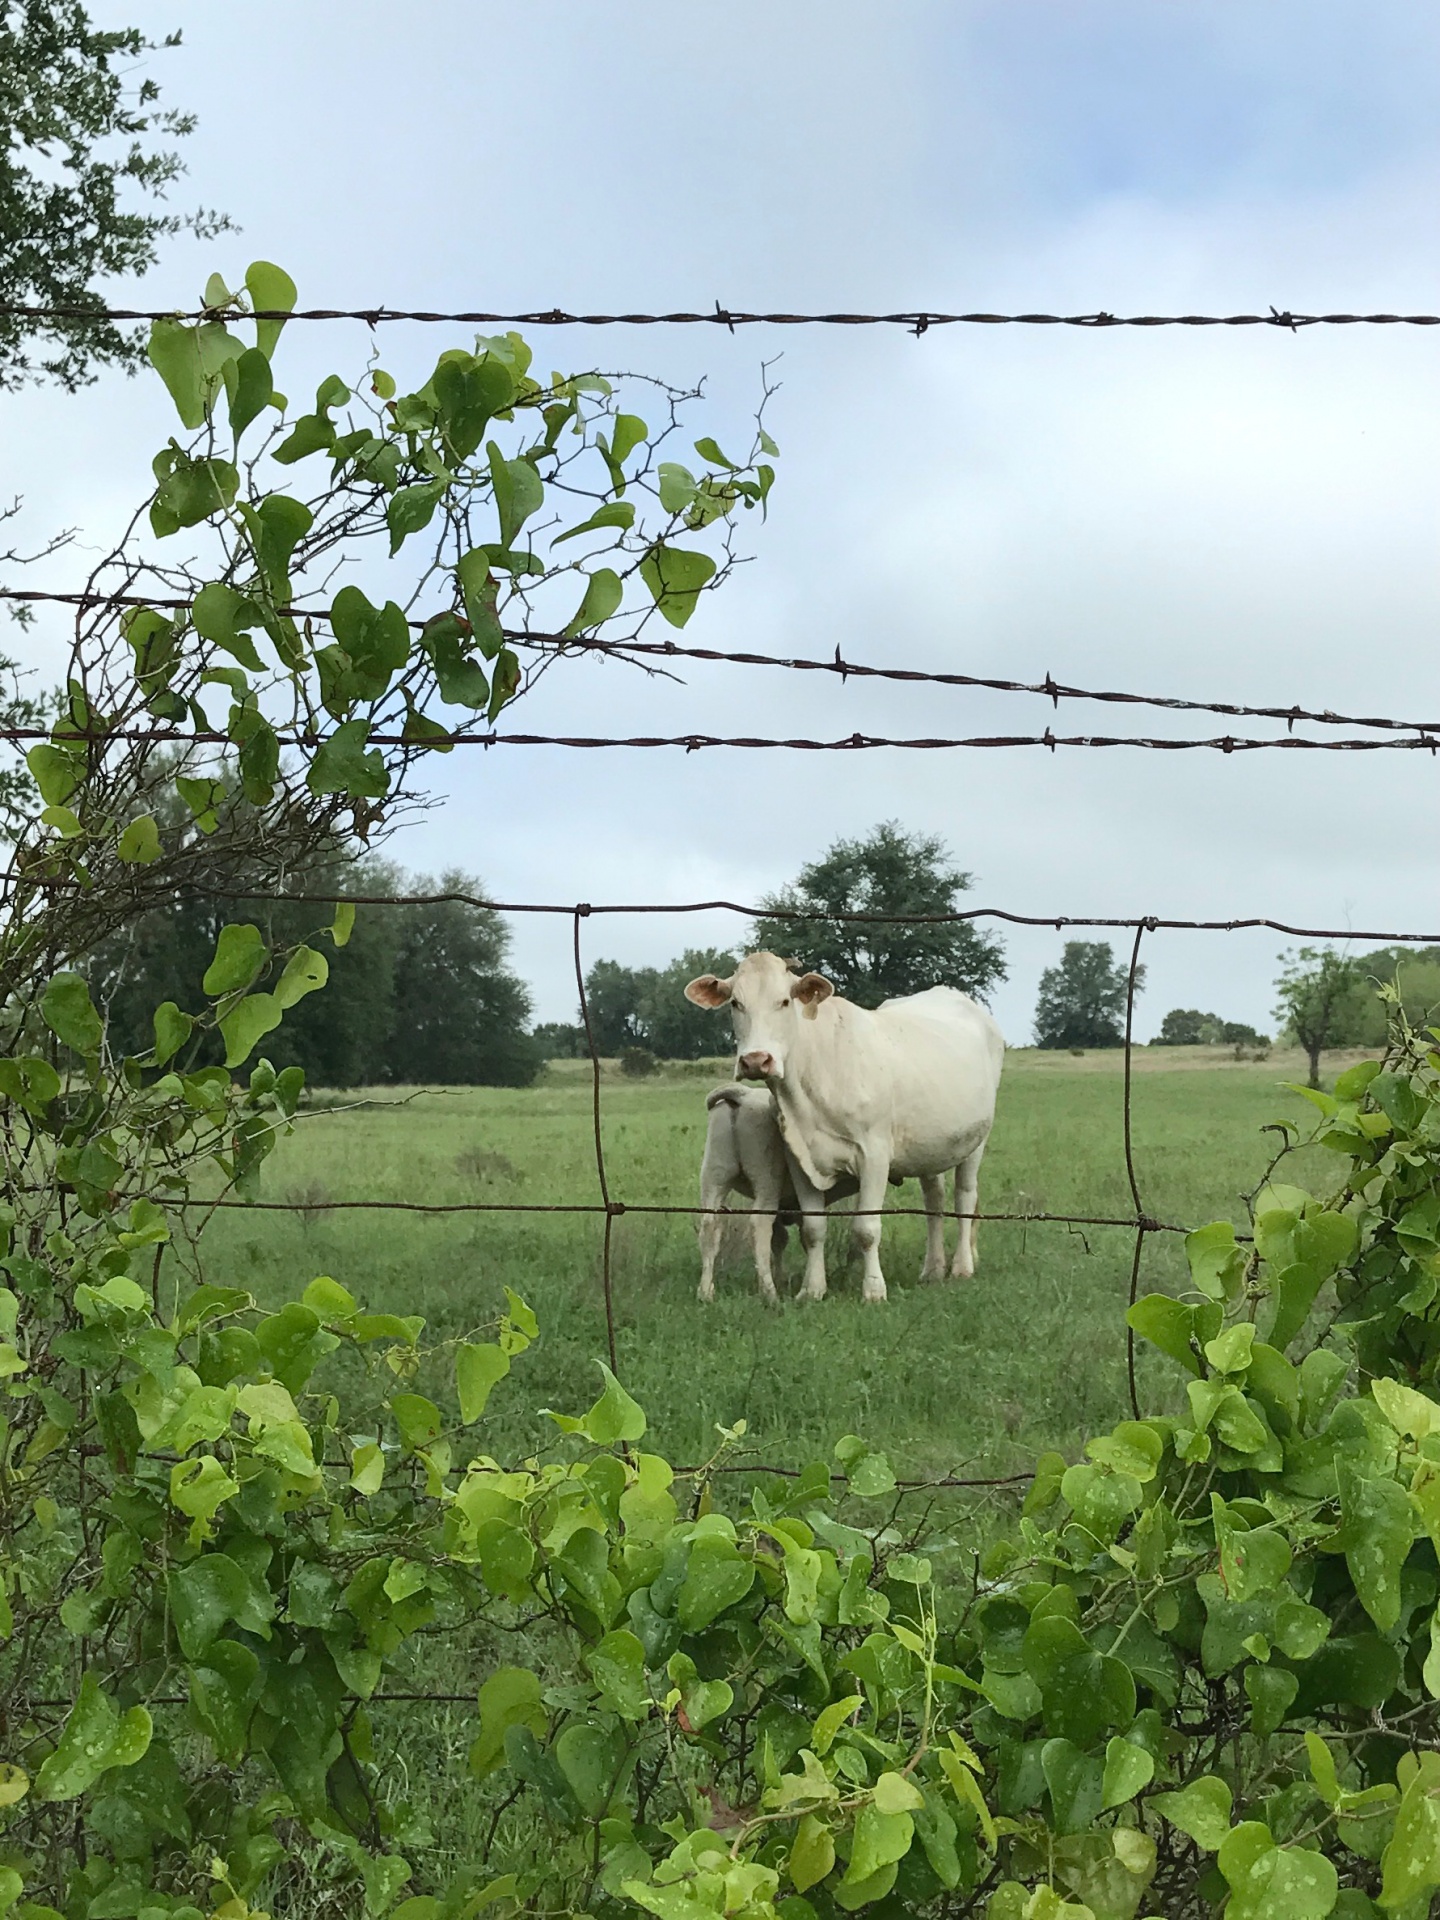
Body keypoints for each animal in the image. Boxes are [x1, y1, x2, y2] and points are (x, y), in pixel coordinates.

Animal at [683, 956, 1006, 1305]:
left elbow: (866, 1229)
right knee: (934, 1200)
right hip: (930, 1147)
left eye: (784, 1001)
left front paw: (874, 1290)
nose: (756, 1060)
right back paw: (932, 1269)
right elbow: (813, 1229)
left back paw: (961, 1267)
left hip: (975, 1142)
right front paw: (812, 1289)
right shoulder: (800, 1159)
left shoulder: (874, 1155)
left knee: (964, 1198)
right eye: (735, 1003)